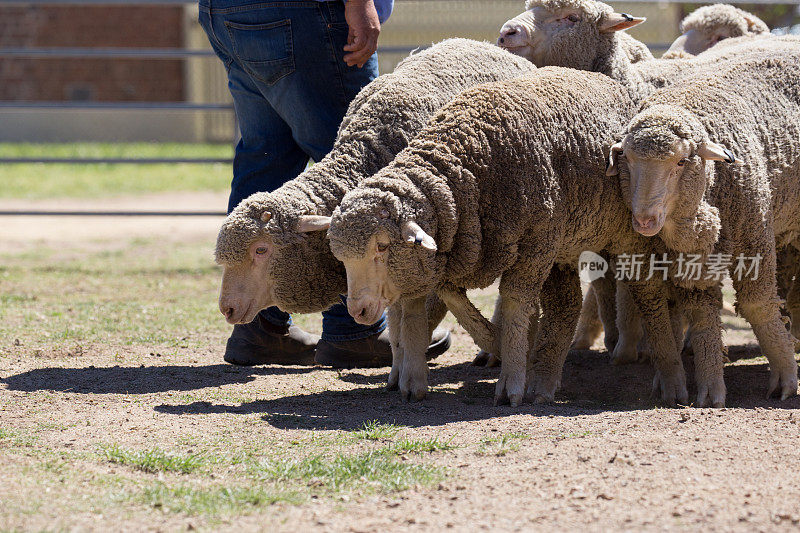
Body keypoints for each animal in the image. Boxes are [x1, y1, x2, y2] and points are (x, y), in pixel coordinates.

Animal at [322, 68, 684, 406]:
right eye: (341, 258)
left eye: (382, 247)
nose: (358, 311)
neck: (463, 173)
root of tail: (602, 79)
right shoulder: (441, 257)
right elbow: (431, 304)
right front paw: (417, 377)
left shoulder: (534, 246)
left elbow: (514, 306)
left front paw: (511, 380)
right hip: (562, 245)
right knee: (566, 304)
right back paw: (545, 374)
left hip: (619, 234)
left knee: (646, 291)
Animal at [608, 50, 800, 402]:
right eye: (626, 159)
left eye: (682, 161)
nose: (644, 220)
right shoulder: (673, 262)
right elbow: (687, 315)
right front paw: (695, 386)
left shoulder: (755, 236)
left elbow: (757, 305)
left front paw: (784, 376)